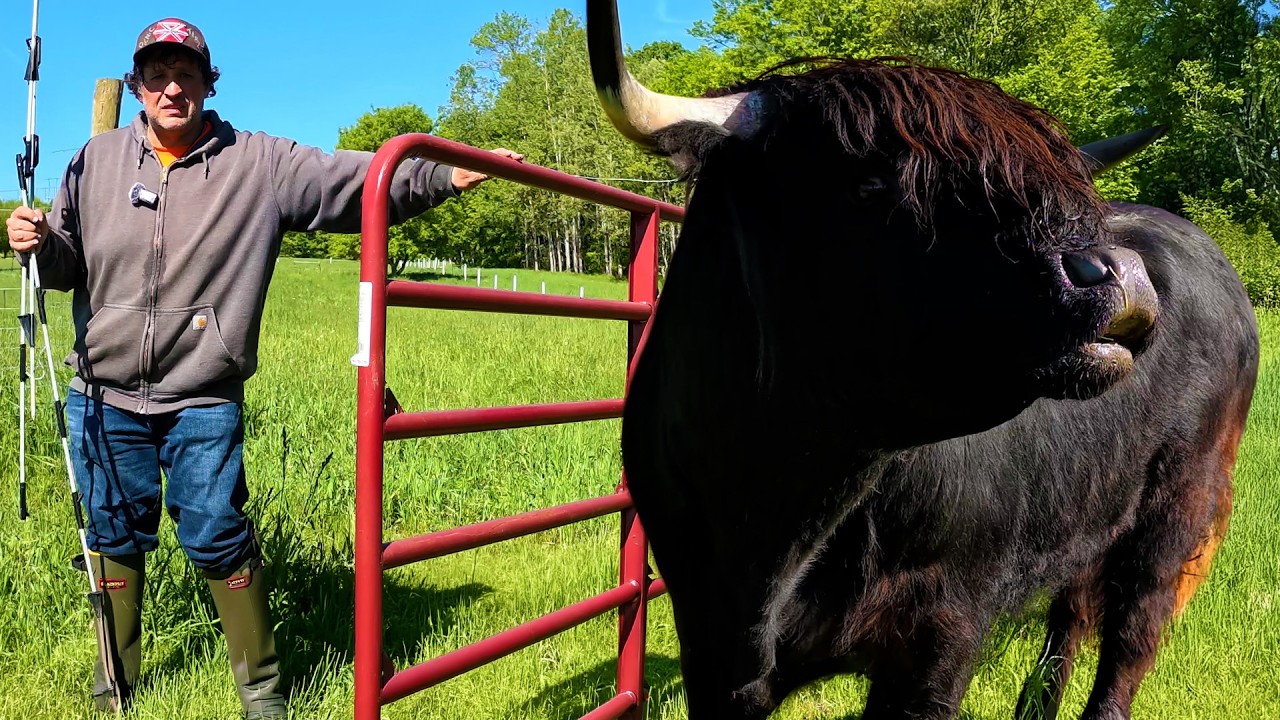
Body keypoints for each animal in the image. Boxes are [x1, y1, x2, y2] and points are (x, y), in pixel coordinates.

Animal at [586, 2, 1260, 719]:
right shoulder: (708, 643)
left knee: (1131, 639)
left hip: (1178, 508)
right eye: (870, 183)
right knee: (1071, 618)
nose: (1118, 274)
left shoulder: (942, 631)